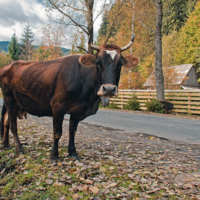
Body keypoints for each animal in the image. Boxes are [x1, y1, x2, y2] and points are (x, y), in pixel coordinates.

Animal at [0, 35, 139, 162]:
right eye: (98, 63)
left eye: (120, 64)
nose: (109, 89)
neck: (89, 100)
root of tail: (9, 65)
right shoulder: (57, 106)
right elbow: (57, 132)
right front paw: (54, 156)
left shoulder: (77, 110)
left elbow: (72, 132)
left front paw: (73, 153)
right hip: (9, 98)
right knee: (13, 124)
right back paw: (19, 149)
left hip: (16, 102)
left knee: (6, 121)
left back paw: (6, 144)